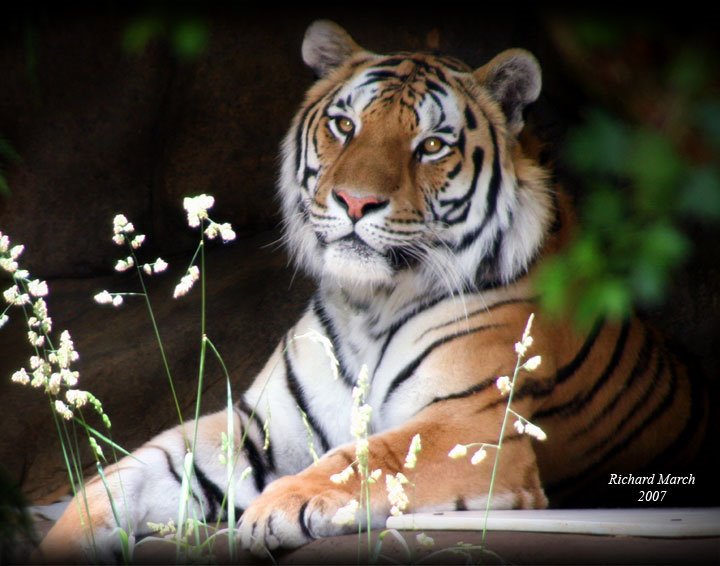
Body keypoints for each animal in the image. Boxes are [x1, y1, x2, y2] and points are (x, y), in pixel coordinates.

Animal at [36, 18, 704, 564]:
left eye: (431, 145)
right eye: (344, 125)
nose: (355, 202)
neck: (370, 304)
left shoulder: (470, 426)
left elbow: (369, 456)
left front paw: (276, 508)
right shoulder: (261, 427)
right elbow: (130, 472)